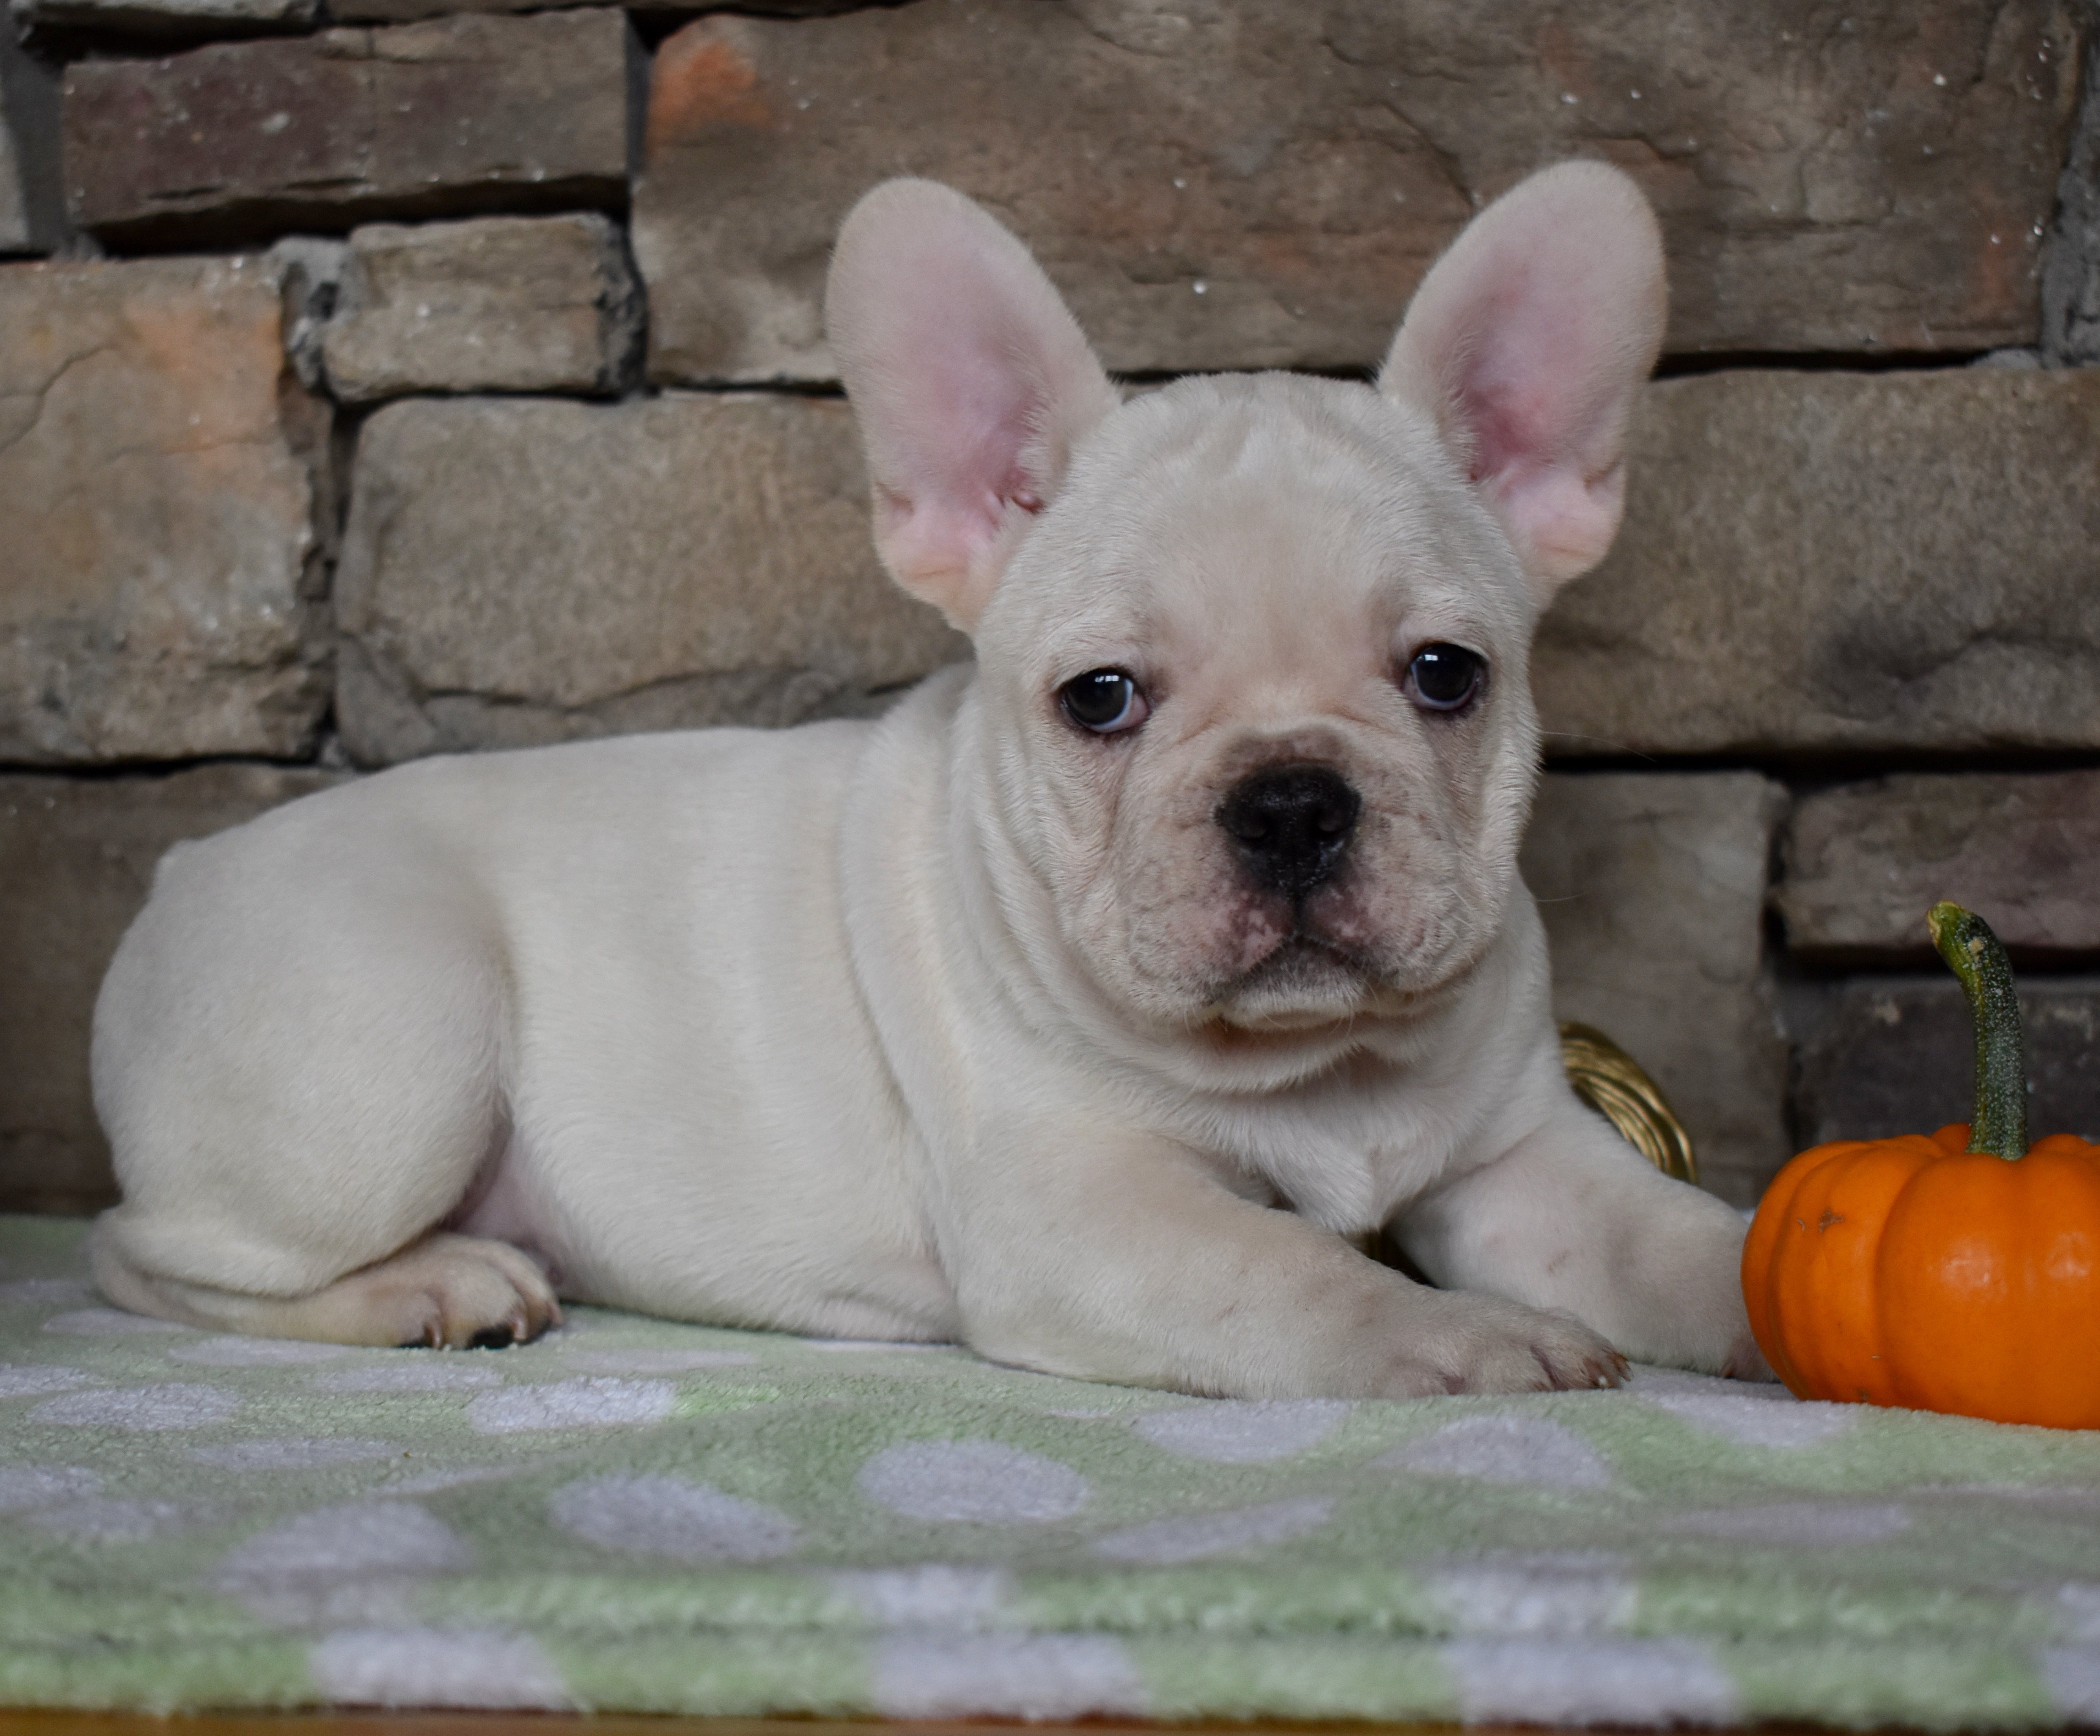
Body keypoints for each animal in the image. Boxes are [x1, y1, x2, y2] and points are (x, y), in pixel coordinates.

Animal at [90, 163, 1764, 1402]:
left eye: (1444, 676)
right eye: (1102, 699)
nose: (1291, 799)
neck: (1313, 1068)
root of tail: (180, 873)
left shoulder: (1526, 1168)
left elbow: (1686, 1245)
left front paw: (1767, 1297)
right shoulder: (1085, 1211)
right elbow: (1302, 1269)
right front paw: (1467, 1338)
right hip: (396, 1060)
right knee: (143, 1255)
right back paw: (433, 1286)